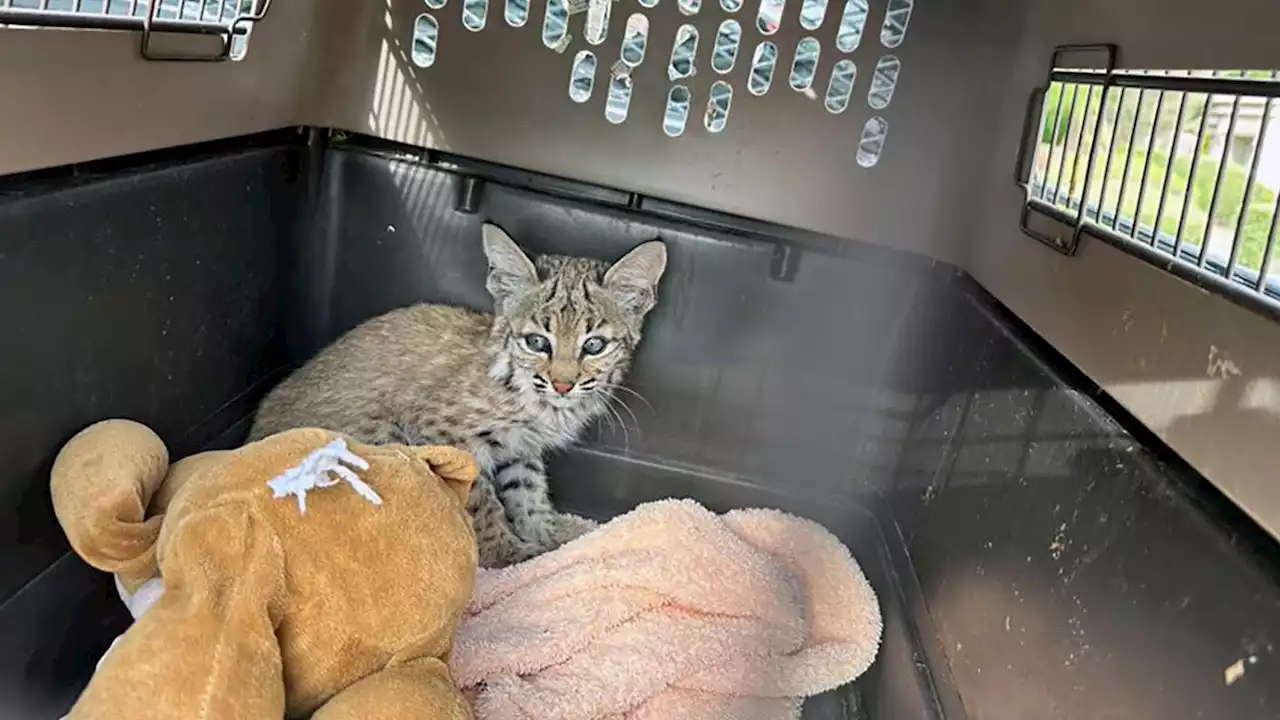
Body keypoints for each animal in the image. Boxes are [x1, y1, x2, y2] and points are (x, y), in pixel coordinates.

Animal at [249, 224, 670, 566]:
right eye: (537, 342)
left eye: (594, 345)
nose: (563, 384)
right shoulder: (444, 432)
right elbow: (481, 498)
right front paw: (506, 553)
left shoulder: (520, 447)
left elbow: (529, 491)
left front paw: (551, 538)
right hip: (382, 437)